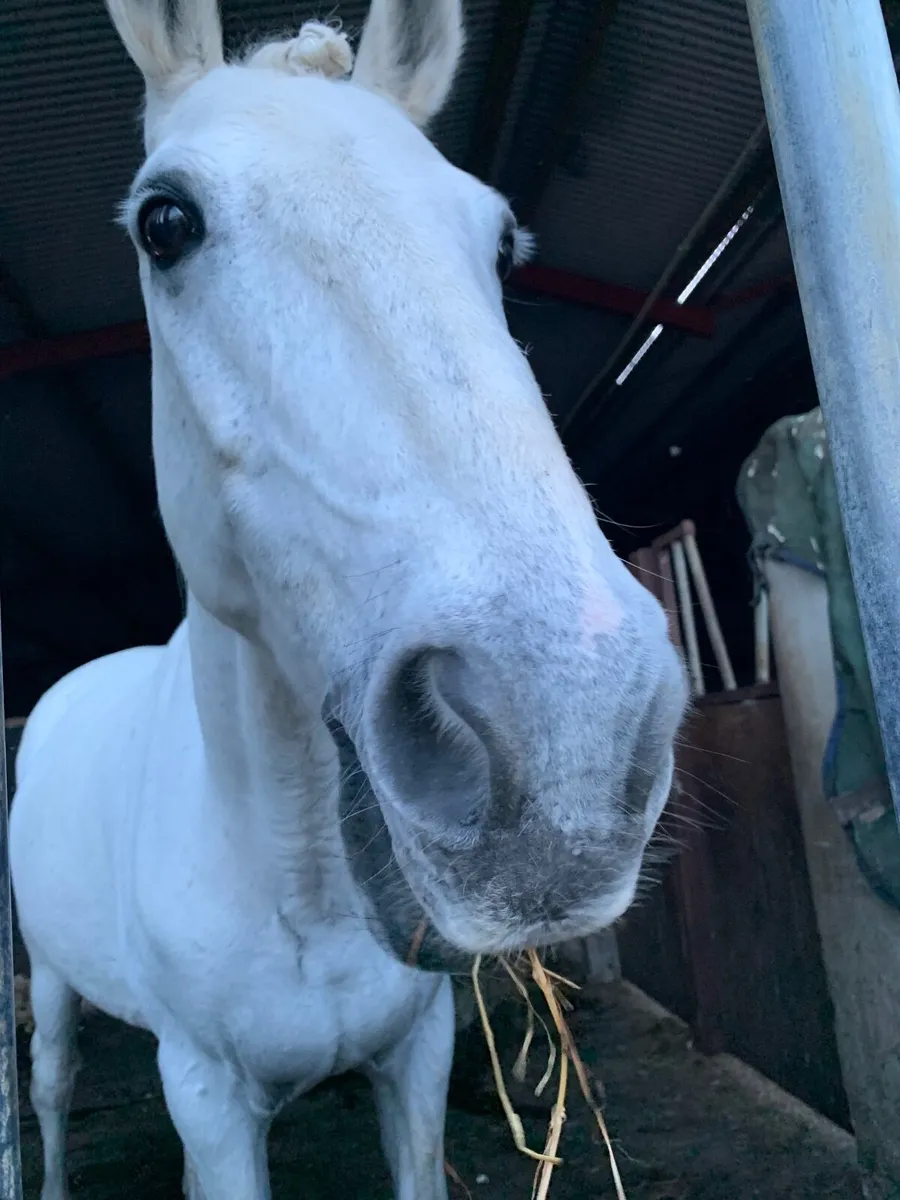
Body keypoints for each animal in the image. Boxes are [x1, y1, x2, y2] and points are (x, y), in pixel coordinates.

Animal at [9, 1, 688, 1196]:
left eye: (500, 240)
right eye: (165, 223)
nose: (572, 725)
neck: (298, 883)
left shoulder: (418, 1055)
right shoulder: (206, 1097)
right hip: (47, 975)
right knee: (49, 1088)